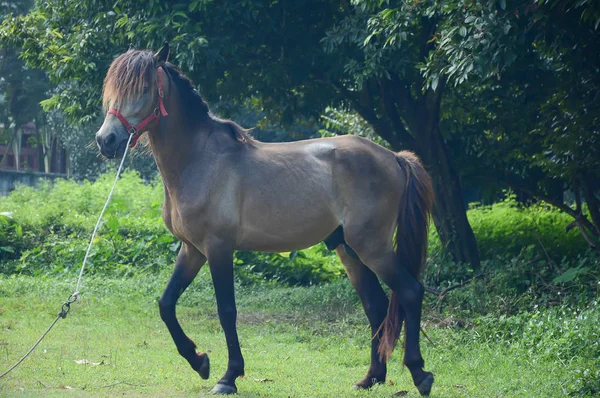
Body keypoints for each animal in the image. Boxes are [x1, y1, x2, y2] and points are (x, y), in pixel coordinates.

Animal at [96, 42, 434, 394]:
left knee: (410, 292)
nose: (106, 140)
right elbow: (166, 304)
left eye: (144, 88)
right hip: (349, 249)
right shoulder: (192, 250)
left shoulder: (218, 248)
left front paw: (228, 377)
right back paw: (371, 378)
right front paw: (199, 361)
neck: (199, 159)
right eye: (112, 90)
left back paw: (420, 374)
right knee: (376, 306)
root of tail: (394, 157)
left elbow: (226, 310)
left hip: (372, 247)